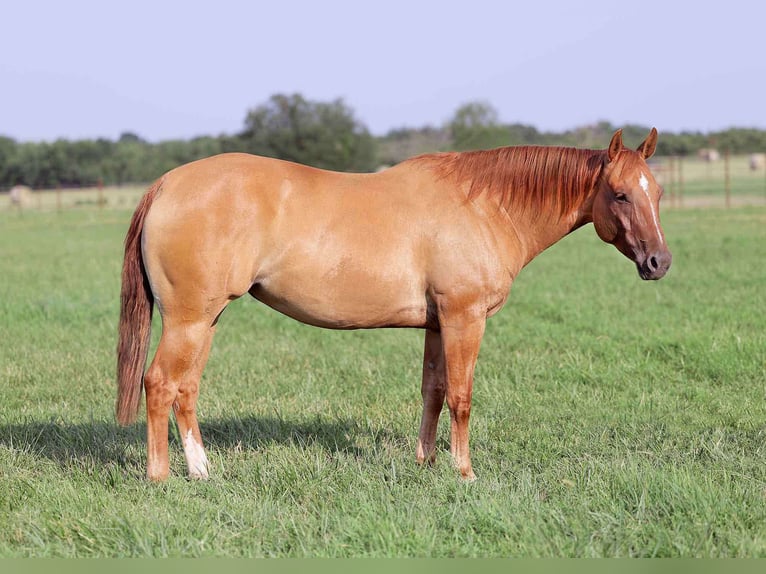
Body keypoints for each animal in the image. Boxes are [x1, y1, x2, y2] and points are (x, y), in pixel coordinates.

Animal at [116, 128, 671, 482]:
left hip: (206, 319)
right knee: (160, 384)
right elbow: (461, 396)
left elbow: (433, 391)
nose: (659, 262)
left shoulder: (437, 324)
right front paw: (464, 473)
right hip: (189, 320)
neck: (484, 206)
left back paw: (202, 472)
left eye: (658, 192)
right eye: (620, 194)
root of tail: (166, 184)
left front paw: (426, 463)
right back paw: (161, 477)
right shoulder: (464, 318)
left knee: (186, 389)